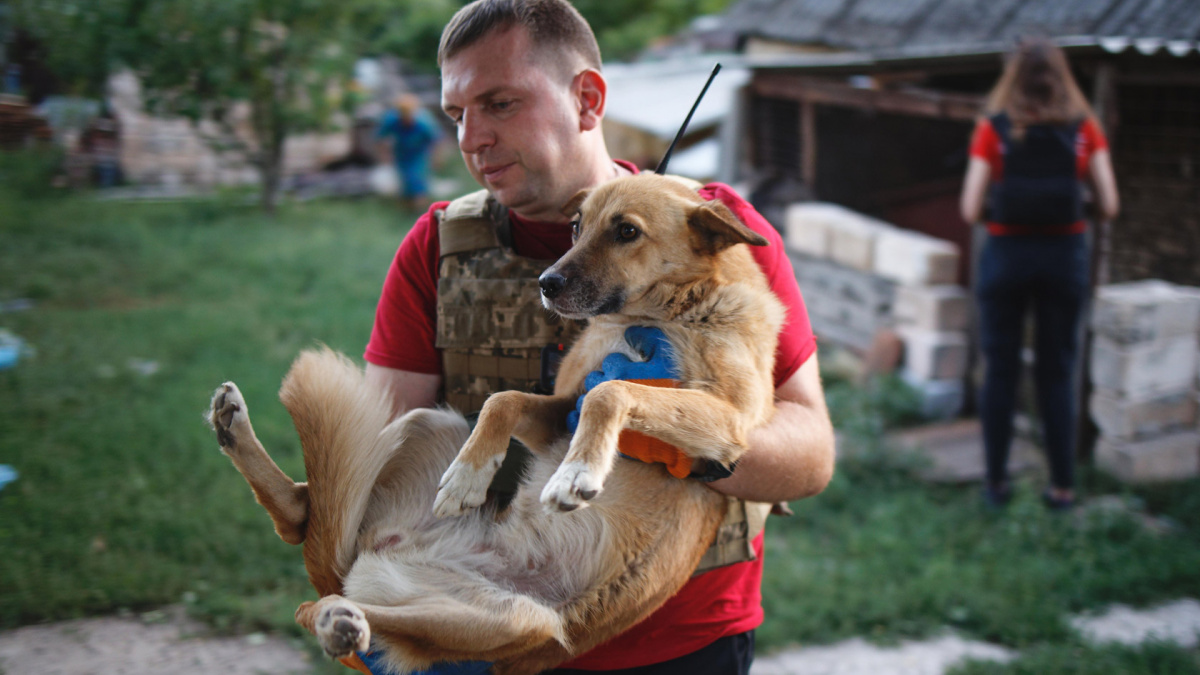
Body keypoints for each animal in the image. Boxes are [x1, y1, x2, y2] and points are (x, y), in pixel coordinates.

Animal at [206, 174, 787, 672]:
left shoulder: (730, 424)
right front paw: (468, 476)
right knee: (303, 533)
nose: (546, 283)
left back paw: (337, 620)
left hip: (509, 620)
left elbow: (610, 391)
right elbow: (504, 400)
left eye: (627, 231)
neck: (662, 315)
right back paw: (235, 432)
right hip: (427, 428)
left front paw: (577, 472)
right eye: (576, 226)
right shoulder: (558, 410)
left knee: (327, 594)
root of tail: (375, 557)